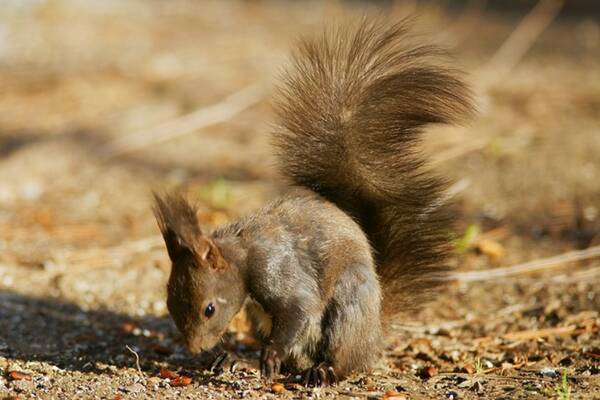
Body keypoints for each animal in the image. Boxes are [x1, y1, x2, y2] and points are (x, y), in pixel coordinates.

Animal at [154, 18, 474, 388]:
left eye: (209, 309)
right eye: (168, 302)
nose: (196, 348)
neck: (243, 252)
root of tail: (375, 332)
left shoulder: (282, 271)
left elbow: (298, 307)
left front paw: (270, 355)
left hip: (348, 305)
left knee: (343, 360)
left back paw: (323, 370)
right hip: (260, 318)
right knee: (297, 359)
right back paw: (241, 361)